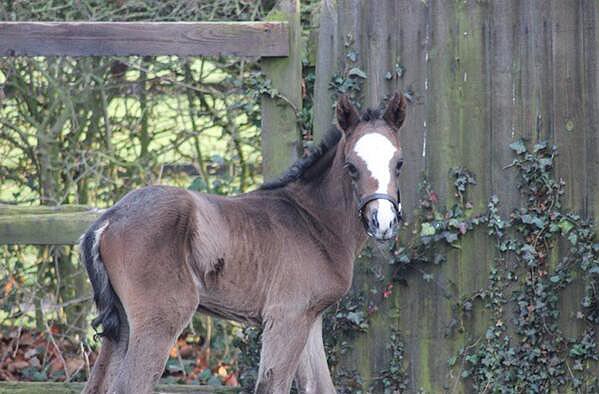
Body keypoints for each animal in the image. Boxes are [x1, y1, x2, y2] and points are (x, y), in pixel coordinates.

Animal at [81, 93, 408, 394]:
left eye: (399, 164)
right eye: (351, 166)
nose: (382, 222)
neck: (313, 220)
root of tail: (109, 218)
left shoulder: (310, 317)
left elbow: (320, 387)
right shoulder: (286, 316)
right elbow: (273, 385)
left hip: (123, 325)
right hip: (161, 318)